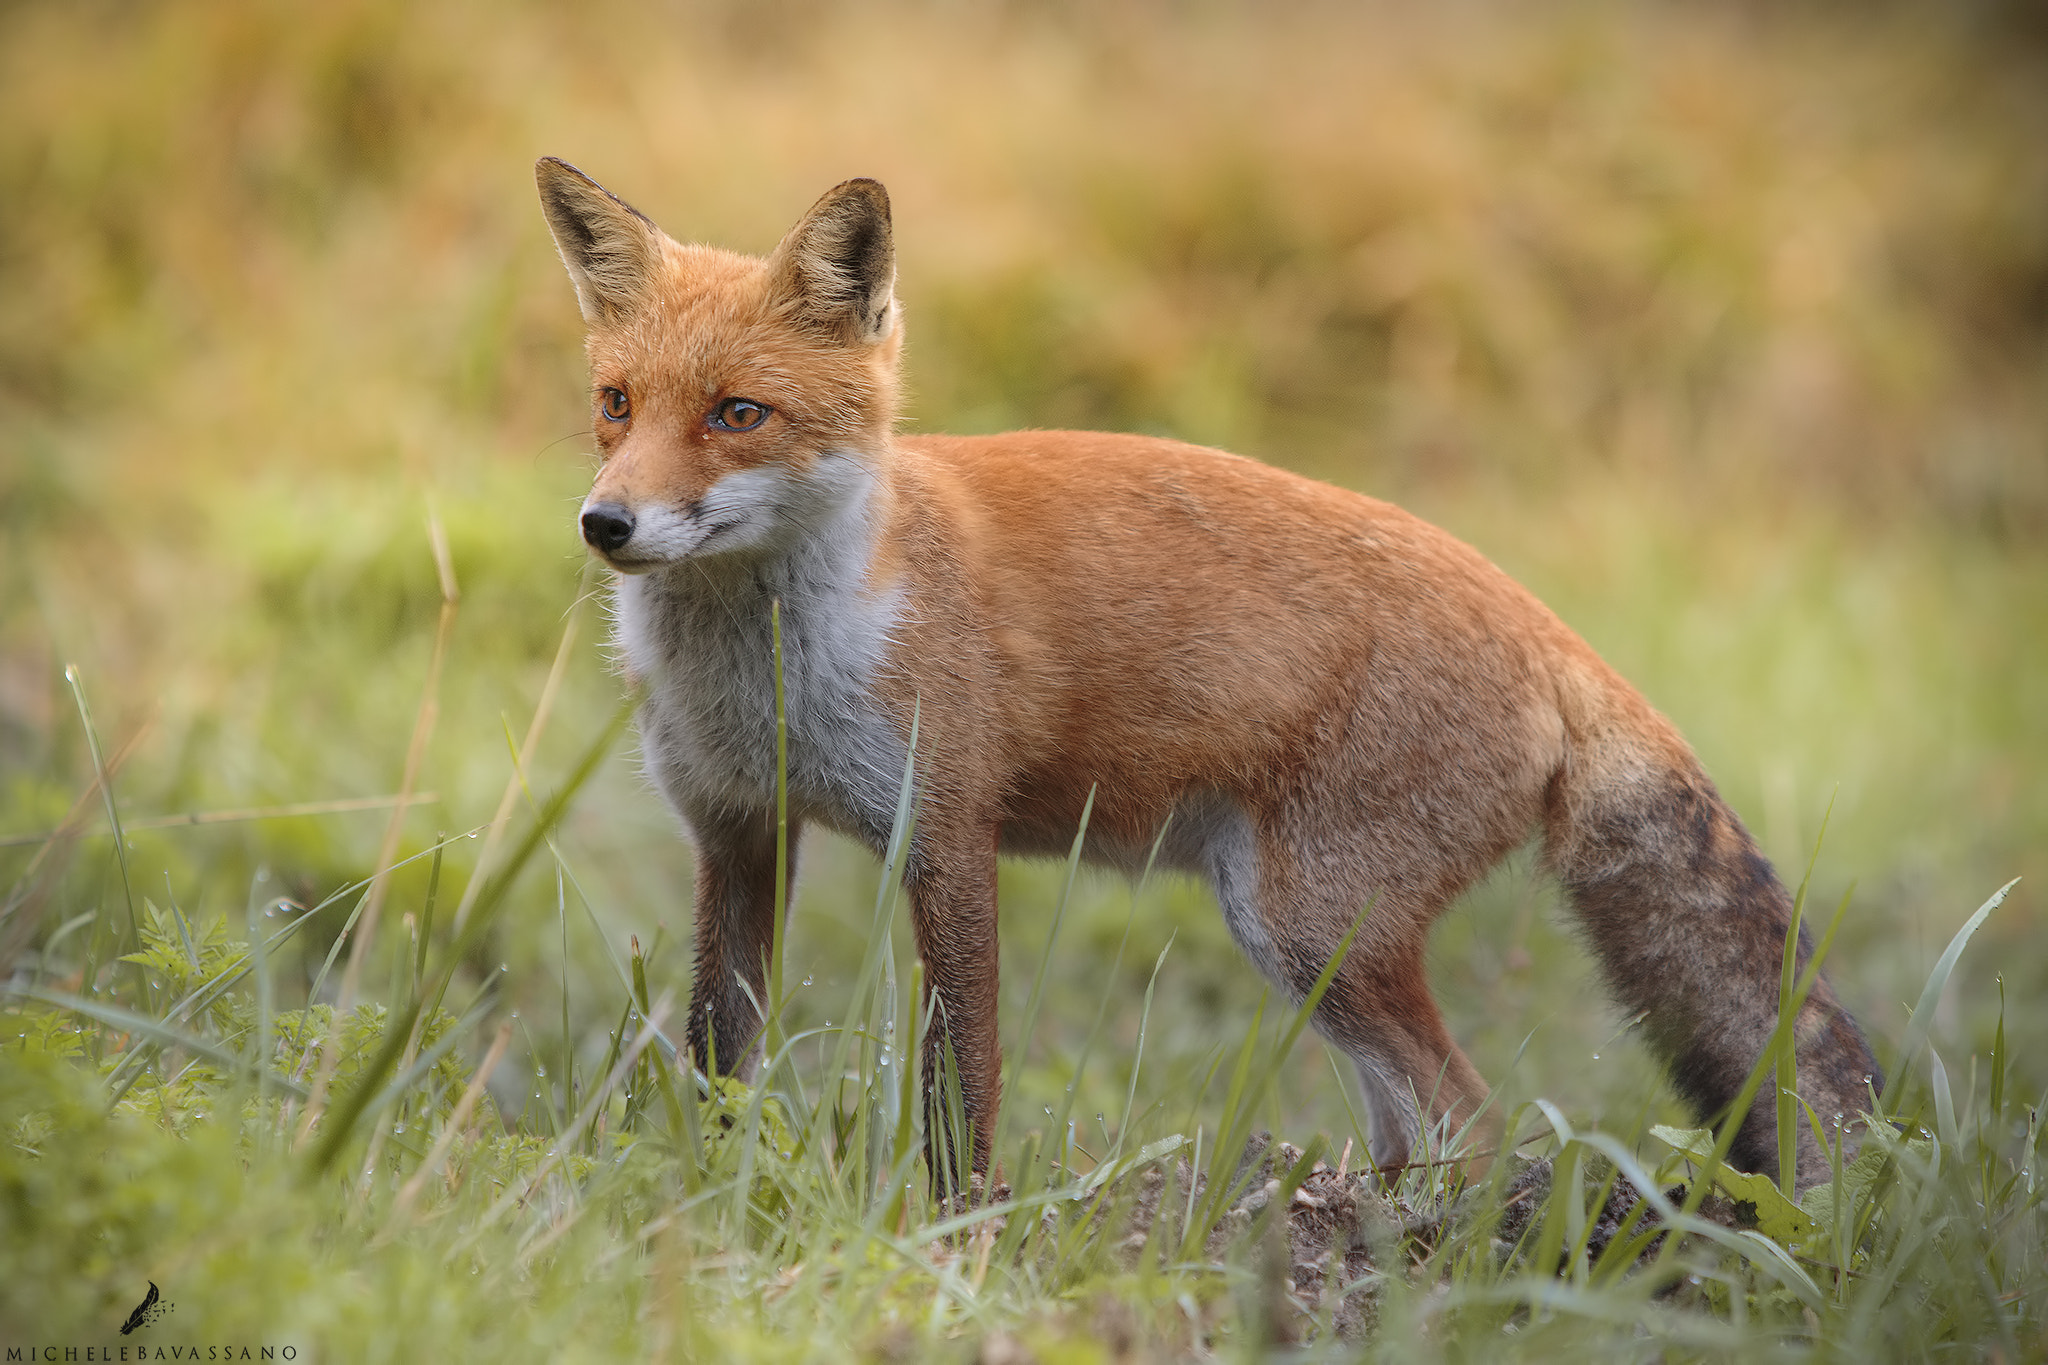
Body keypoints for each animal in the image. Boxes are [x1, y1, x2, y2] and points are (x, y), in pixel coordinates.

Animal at [536, 157, 1881, 1189]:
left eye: (737, 414)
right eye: (616, 404)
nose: (605, 525)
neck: (769, 678)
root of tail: (1550, 628)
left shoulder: (945, 834)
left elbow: (959, 1086)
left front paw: (954, 1232)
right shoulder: (736, 833)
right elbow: (717, 1061)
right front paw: (700, 1205)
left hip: (1302, 925)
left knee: (1477, 1121)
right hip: (1315, 946)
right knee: (1422, 1128)